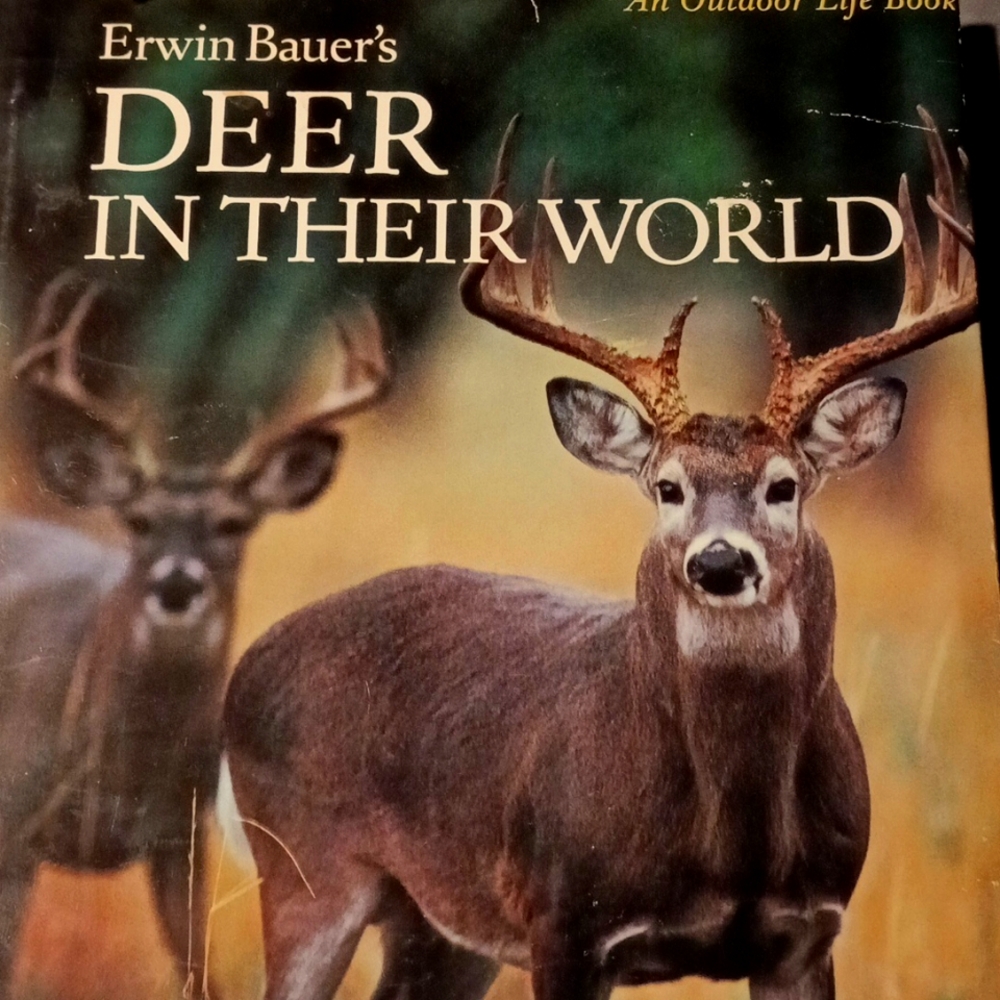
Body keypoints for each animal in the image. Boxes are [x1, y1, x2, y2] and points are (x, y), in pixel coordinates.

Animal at [0, 272, 389, 999]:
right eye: (138, 520)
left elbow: (200, 976)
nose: (177, 584)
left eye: (235, 523)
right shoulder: (13, 823)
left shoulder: (182, 835)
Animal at [222, 108, 977, 1000]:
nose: (720, 564)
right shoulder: (565, 920)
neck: (735, 833)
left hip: (439, 922)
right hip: (303, 867)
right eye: (667, 487)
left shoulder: (808, 934)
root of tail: (245, 666)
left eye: (785, 486)